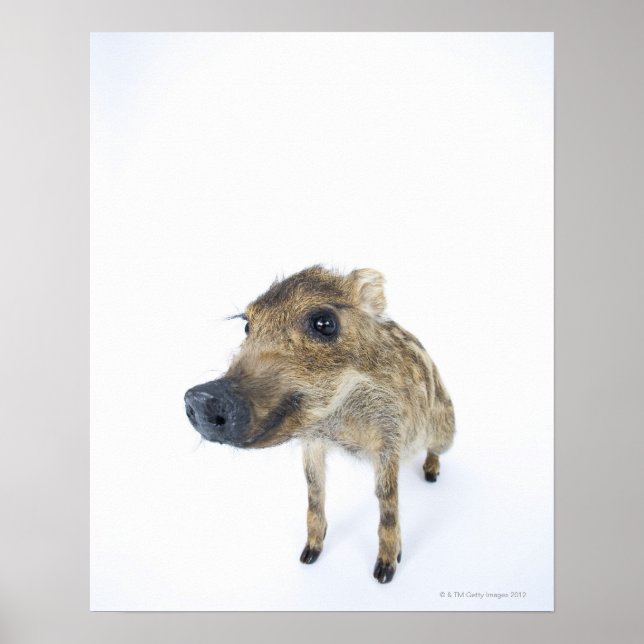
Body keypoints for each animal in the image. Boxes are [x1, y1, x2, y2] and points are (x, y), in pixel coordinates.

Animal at [184, 266, 455, 583]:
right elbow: (314, 489)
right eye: (247, 327)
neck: (338, 420)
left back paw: (431, 475)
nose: (202, 397)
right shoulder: (312, 441)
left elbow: (387, 499)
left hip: (446, 431)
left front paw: (384, 572)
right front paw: (308, 555)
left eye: (324, 323)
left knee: (435, 450)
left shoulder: (389, 436)